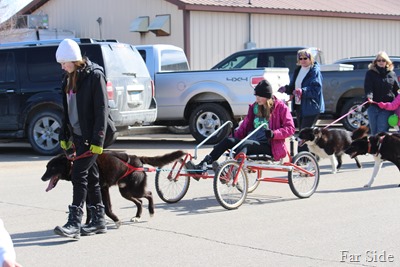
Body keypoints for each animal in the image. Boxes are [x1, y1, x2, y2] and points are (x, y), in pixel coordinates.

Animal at [41, 151, 185, 228]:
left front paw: (115, 220)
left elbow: (107, 208)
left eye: (52, 168)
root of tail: (138, 158)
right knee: (139, 202)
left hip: (134, 189)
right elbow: (89, 210)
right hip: (125, 191)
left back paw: (151, 211)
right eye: (47, 167)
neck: (75, 164)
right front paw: (87, 225)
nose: (42, 178)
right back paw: (137, 217)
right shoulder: (88, 193)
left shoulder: (103, 189)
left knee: (149, 194)